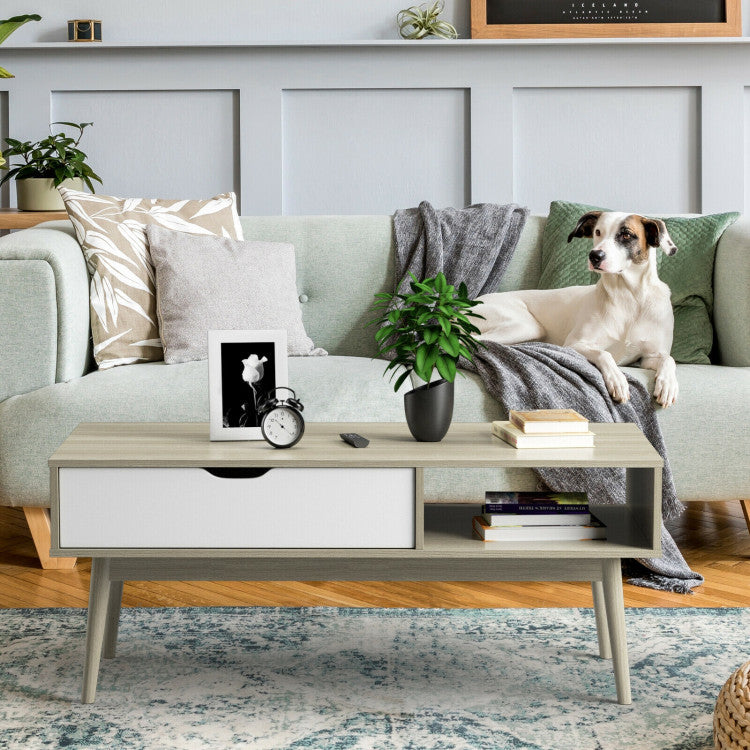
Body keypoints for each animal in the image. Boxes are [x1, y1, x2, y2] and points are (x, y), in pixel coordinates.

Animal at [476, 212, 680, 408]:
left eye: (626, 235)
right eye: (598, 232)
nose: (595, 255)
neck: (628, 297)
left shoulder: (647, 358)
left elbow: (668, 359)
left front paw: (667, 385)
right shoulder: (574, 345)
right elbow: (604, 353)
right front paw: (617, 380)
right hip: (526, 326)